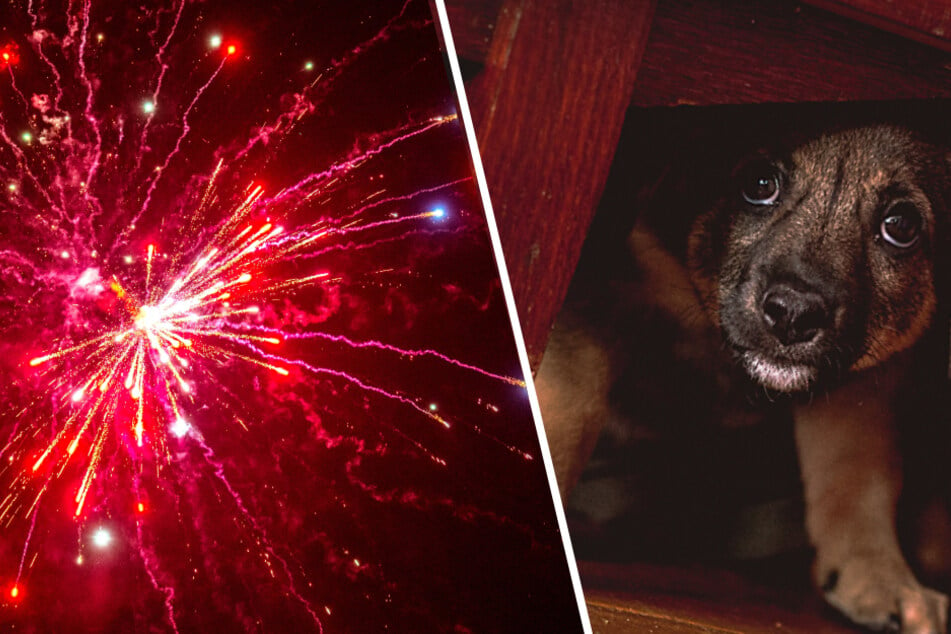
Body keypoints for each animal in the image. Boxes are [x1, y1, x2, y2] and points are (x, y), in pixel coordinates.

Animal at [540, 124, 948, 632]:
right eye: (759, 183)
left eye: (901, 226)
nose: (794, 315)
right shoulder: (604, 292)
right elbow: (569, 409)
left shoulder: (859, 381)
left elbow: (858, 471)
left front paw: (879, 577)